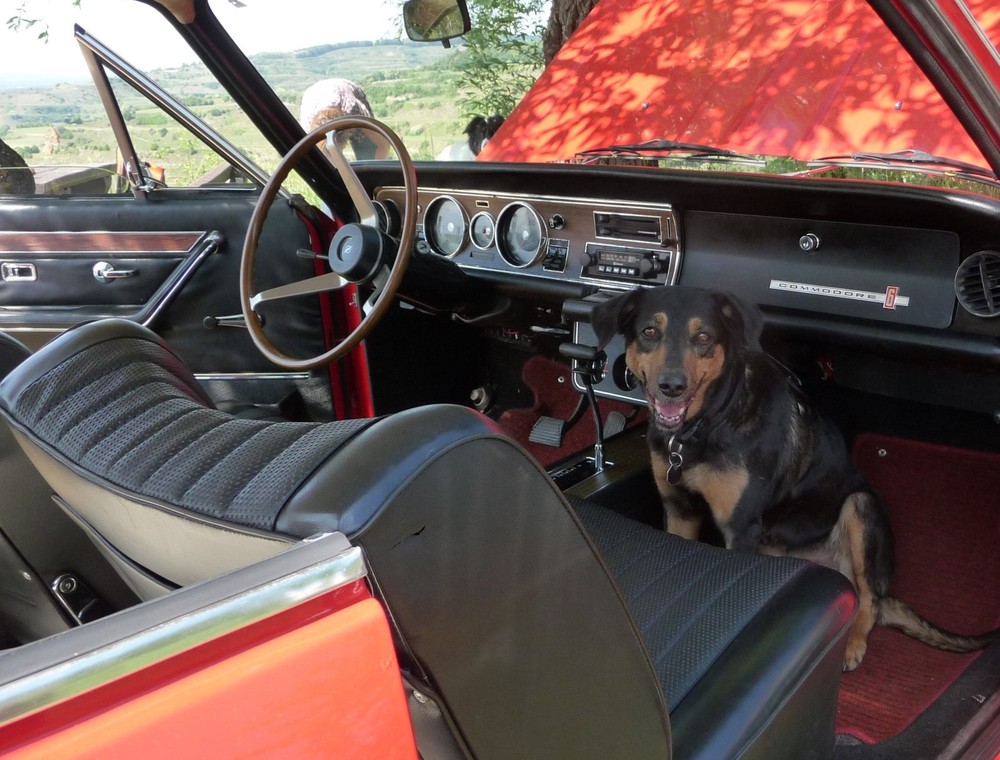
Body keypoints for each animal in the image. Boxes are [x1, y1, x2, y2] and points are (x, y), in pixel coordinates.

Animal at [592, 286, 992, 672]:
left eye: (703, 336)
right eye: (649, 332)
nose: (671, 386)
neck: (707, 424)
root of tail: (834, 568)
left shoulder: (741, 526)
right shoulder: (680, 510)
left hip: (861, 506)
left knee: (869, 600)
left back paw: (852, 644)